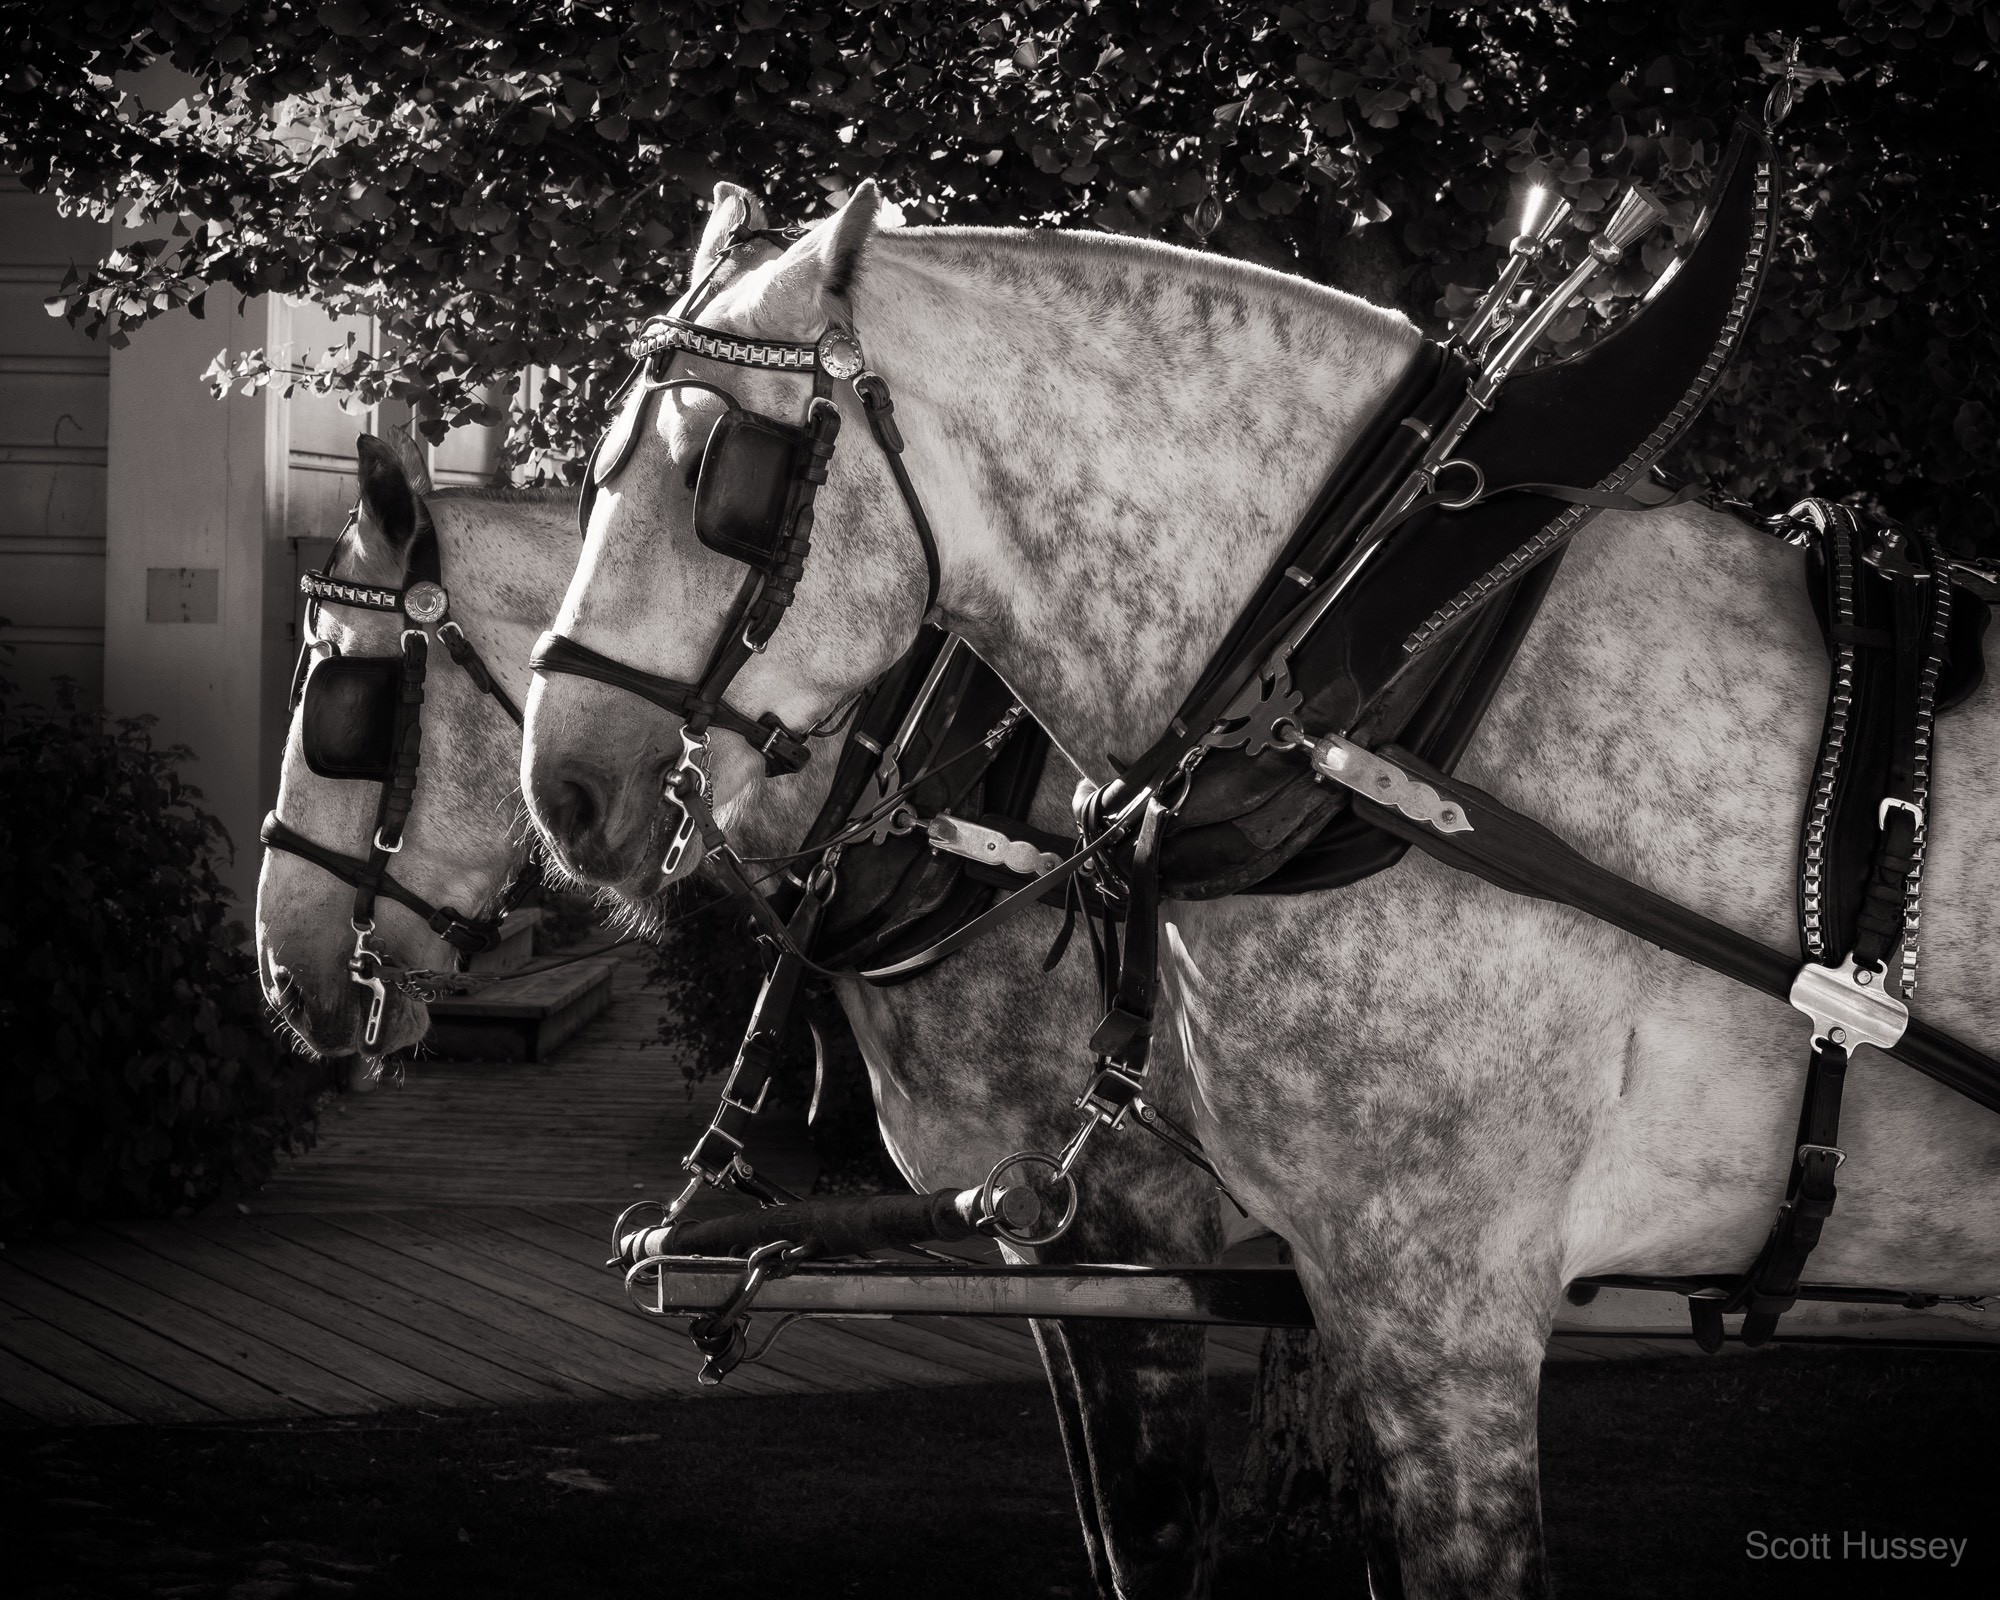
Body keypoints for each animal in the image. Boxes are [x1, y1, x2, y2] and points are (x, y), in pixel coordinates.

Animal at [520, 181, 2000, 1592]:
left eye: (716, 478)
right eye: (589, 477)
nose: (567, 791)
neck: (1347, 679)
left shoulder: (1424, 1292)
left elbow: (1188, 1531)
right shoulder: (1124, 1251)